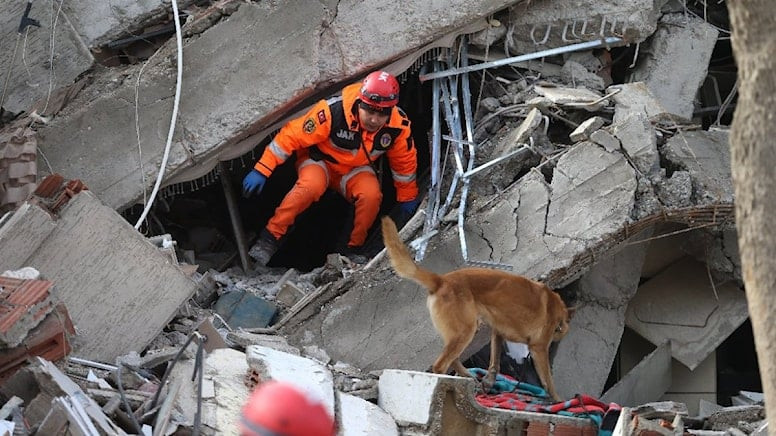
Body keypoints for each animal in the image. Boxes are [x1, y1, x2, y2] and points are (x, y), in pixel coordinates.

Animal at [378, 216, 572, 400]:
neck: (557, 310)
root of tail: (441, 281)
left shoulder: (497, 332)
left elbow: (494, 362)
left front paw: (489, 381)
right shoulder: (539, 349)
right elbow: (548, 381)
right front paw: (556, 399)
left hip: (459, 333)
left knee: (453, 359)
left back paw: (469, 379)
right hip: (466, 331)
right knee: (440, 365)